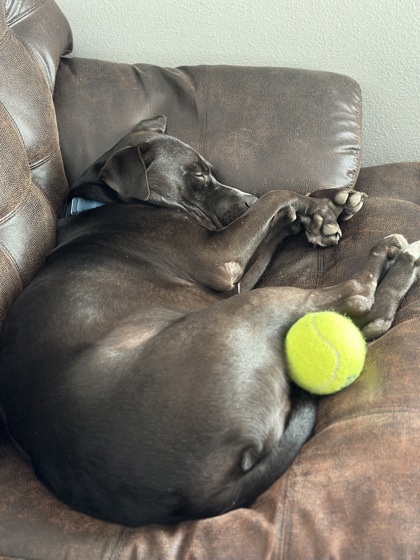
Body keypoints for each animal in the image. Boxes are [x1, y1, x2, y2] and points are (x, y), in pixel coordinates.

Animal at [0, 116, 420, 528]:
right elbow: (277, 194)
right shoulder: (220, 259)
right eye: (198, 176)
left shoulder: (234, 278)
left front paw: (325, 207)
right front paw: (317, 207)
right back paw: (398, 255)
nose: (246, 201)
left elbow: (276, 220)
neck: (103, 202)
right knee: (361, 302)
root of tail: (196, 495)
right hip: (253, 308)